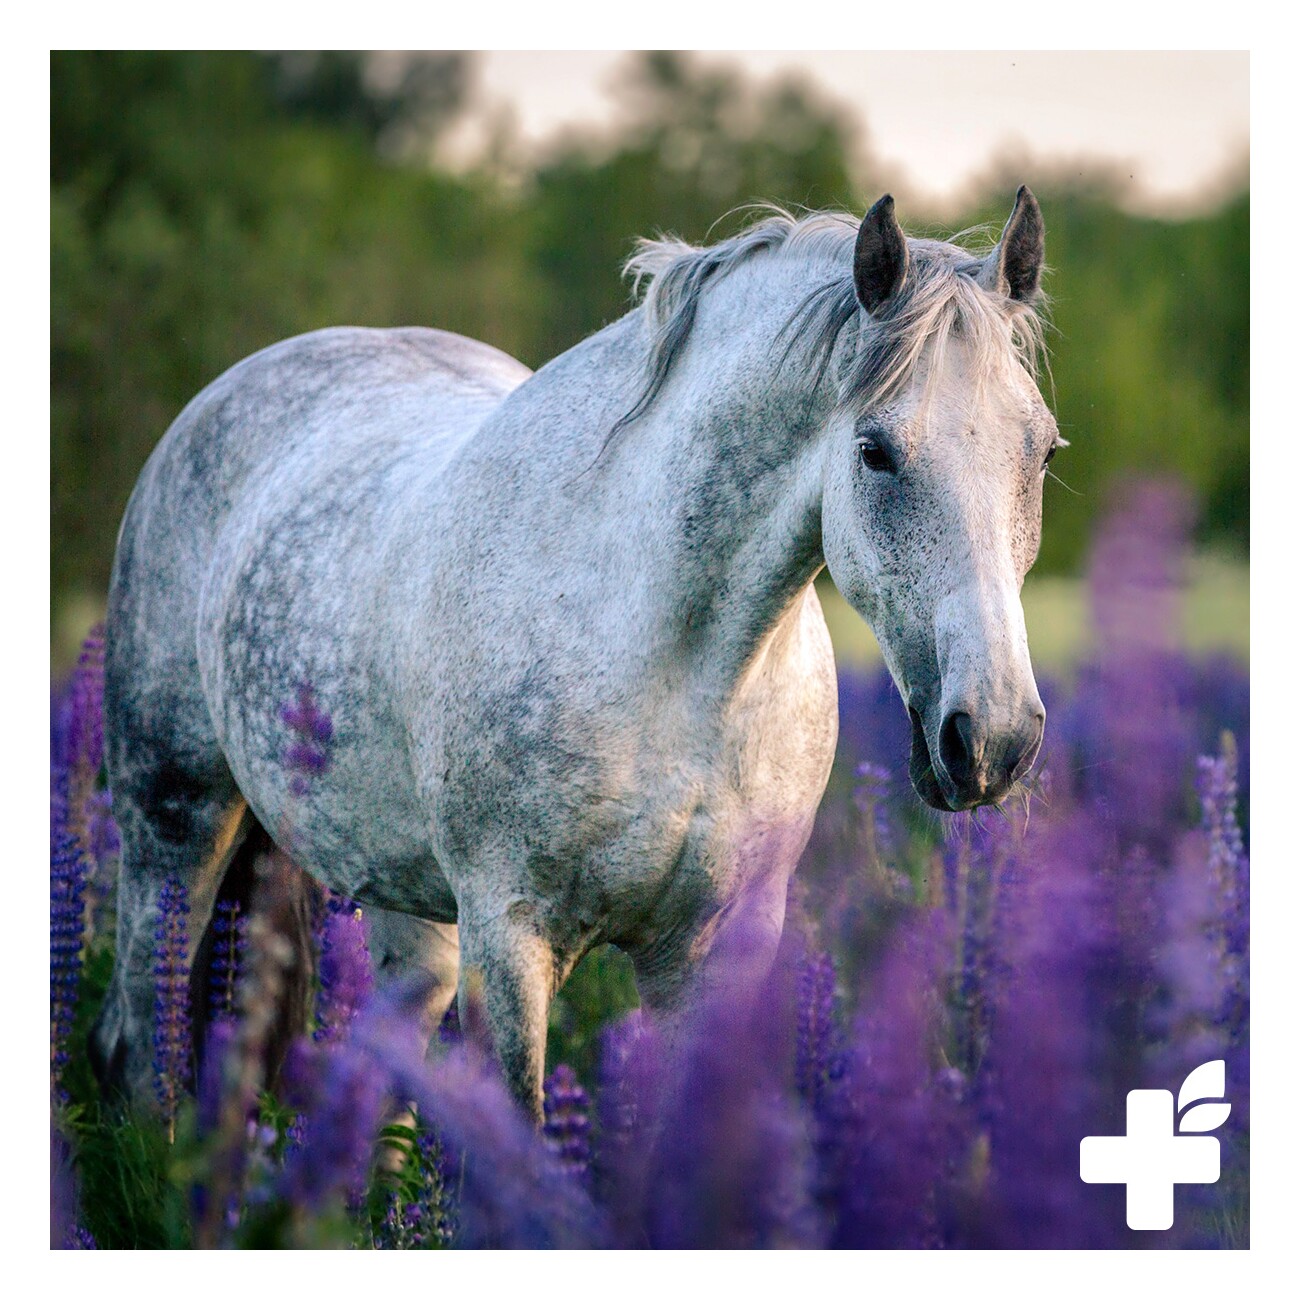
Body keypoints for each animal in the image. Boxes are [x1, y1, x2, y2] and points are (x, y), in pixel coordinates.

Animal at [91, 188, 1058, 1120]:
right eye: (874, 451)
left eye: (1044, 451)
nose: (995, 738)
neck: (680, 668)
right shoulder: (510, 938)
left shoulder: (711, 950)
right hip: (172, 829)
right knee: (145, 1043)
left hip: (406, 907)